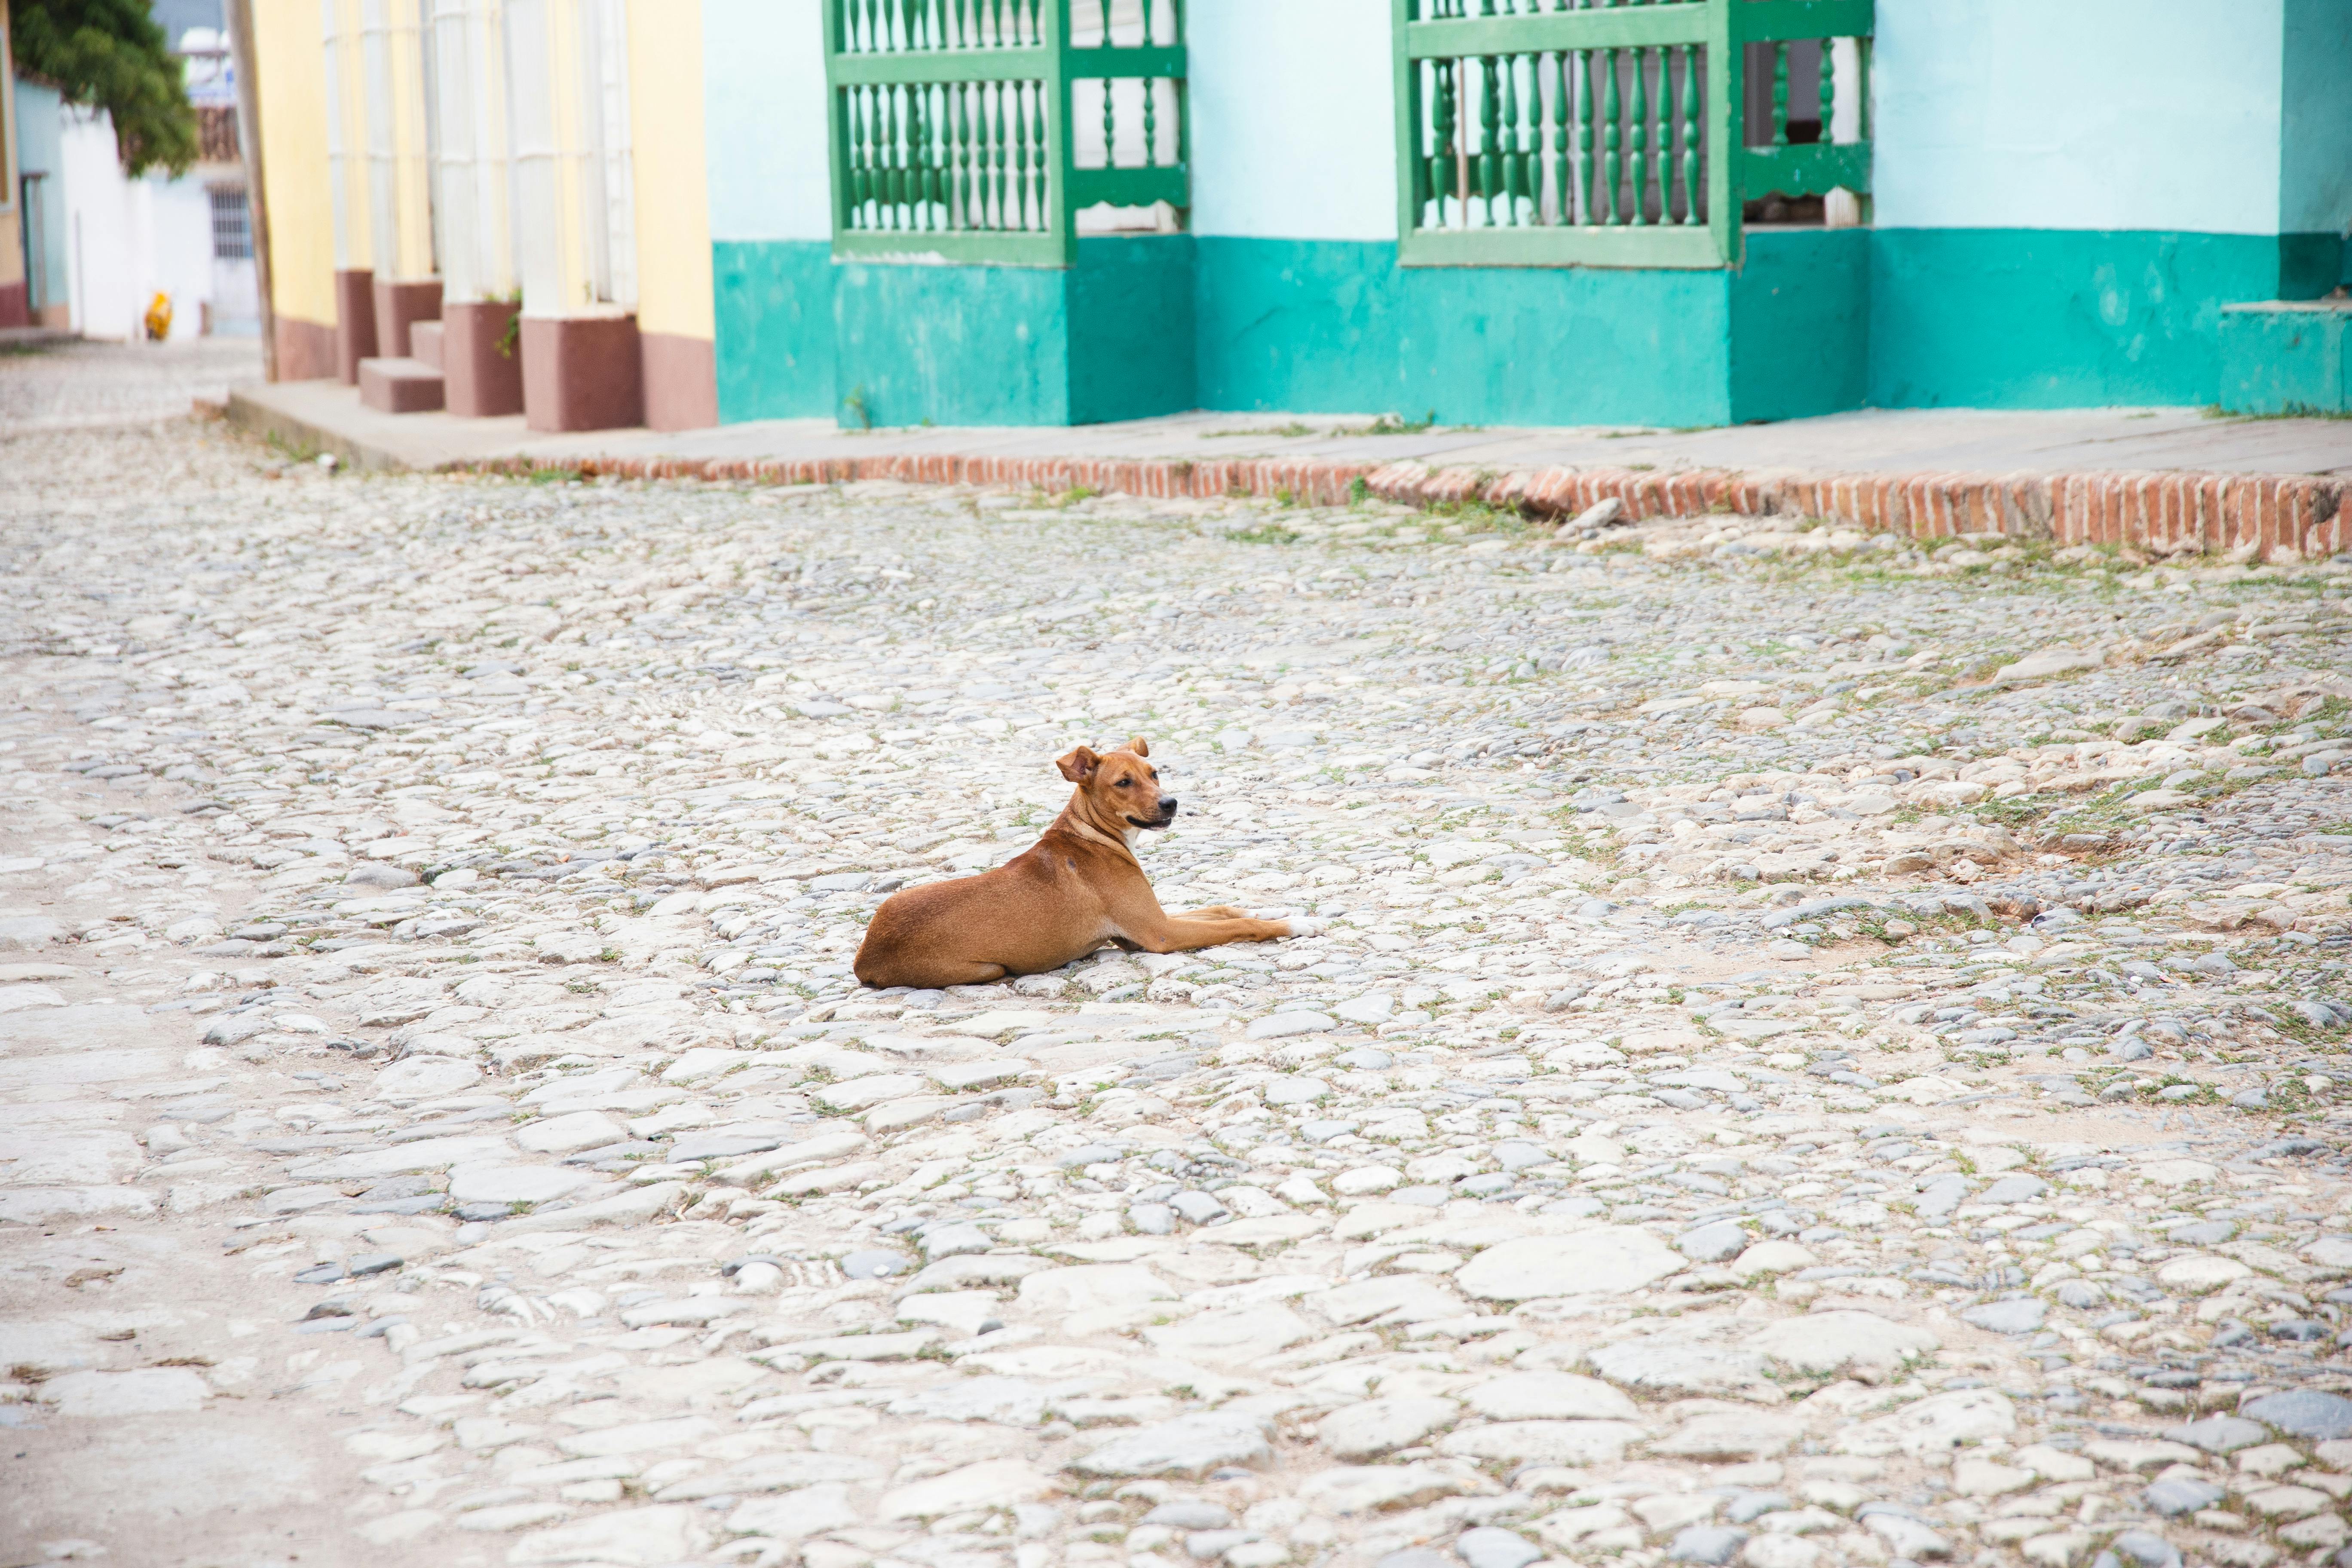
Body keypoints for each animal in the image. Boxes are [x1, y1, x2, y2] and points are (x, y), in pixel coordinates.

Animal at [861, 738, 1317, 987]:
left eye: (1155, 773)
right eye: (1123, 783)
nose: (1171, 803)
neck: (1090, 835)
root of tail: (864, 958)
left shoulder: (1156, 918)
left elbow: (1223, 910)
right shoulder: (1160, 934)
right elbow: (1241, 926)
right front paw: (1295, 925)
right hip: (985, 968)